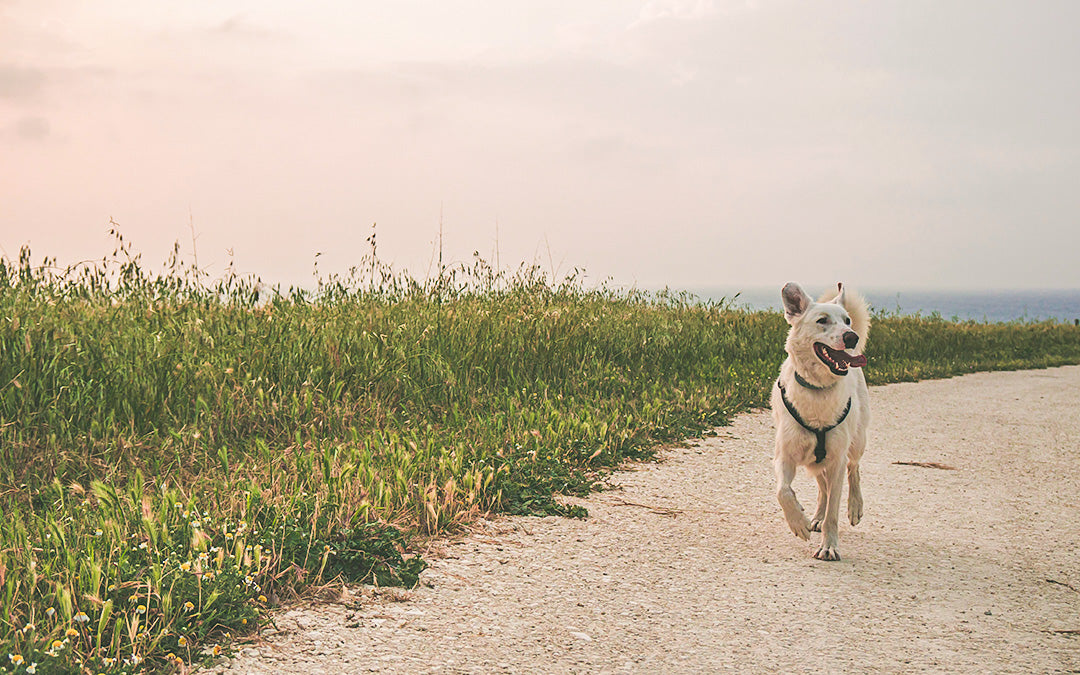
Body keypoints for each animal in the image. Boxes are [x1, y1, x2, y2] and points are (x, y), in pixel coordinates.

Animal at [773, 280, 872, 561]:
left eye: (847, 320)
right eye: (822, 320)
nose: (851, 337)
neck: (818, 389)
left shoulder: (836, 461)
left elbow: (833, 513)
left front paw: (829, 546)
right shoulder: (785, 455)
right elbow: (783, 491)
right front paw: (799, 523)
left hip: (856, 442)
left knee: (853, 470)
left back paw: (854, 506)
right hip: (814, 461)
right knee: (822, 488)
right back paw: (815, 517)